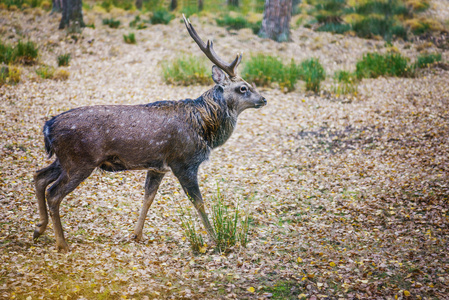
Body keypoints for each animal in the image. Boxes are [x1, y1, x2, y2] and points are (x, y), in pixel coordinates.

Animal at [34, 15, 266, 252]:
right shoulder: (184, 162)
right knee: (53, 193)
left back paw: (39, 229)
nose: (264, 99)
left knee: (39, 177)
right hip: (79, 160)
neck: (204, 128)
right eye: (243, 88)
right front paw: (214, 238)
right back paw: (61, 243)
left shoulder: (157, 166)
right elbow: (198, 202)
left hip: (65, 159)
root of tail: (48, 127)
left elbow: (148, 197)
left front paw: (136, 234)